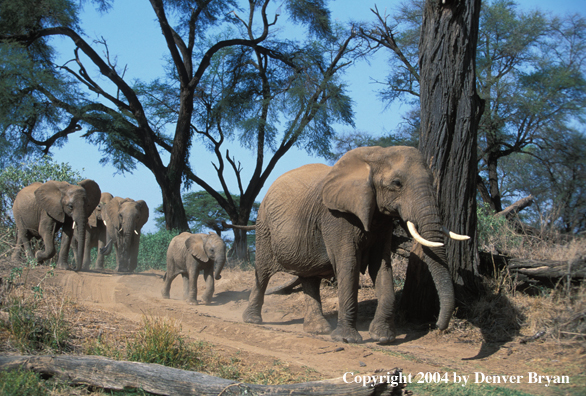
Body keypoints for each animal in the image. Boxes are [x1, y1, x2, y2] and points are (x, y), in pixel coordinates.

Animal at [240, 145, 468, 344]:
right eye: (397, 183)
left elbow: (381, 265)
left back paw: (318, 330)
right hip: (264, 227)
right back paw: (252, 320)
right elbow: (348, 264)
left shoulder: (380, 219)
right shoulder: (337, 217)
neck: (374, 156)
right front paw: (347, 340)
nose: (437, 326)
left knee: (309, 277)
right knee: (263, 272)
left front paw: (383, 338)